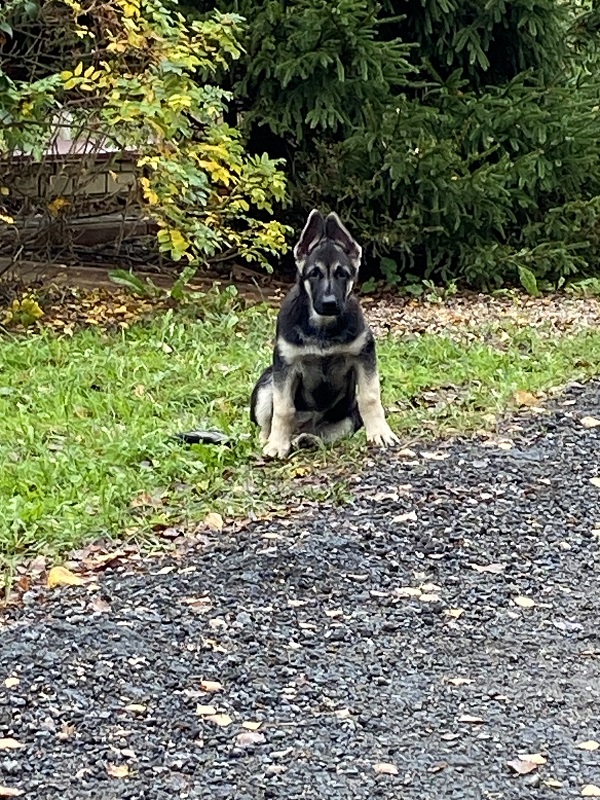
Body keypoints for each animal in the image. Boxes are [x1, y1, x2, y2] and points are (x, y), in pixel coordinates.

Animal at [248, 209, 398, 460]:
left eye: (342, 274)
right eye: (314, 274)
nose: (329, 303)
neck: (323, 327)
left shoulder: (364, 354)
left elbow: (370, 396)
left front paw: (380, 432)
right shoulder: (285, 365)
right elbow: (283, 409)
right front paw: (277, 445)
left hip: (346, 421)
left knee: (323, 434)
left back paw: (306, 439)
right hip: (267, 382)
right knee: (265, 424)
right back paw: (272, 440)